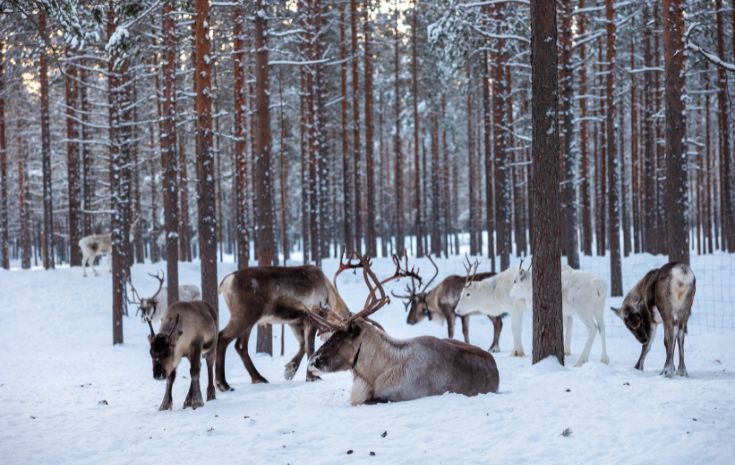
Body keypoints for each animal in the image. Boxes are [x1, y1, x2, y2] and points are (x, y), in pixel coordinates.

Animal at [215, 253, 420, 391]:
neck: (330, 295)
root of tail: (225, 282)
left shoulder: (295, 321)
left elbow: (302, 345)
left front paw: (290, 370)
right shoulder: (311, 316)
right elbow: (310, 346)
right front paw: (311, 376)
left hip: (251, 320)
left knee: (240, 346)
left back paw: (258, 378)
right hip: (245, 315)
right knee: (222, 338)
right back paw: (223, 384)